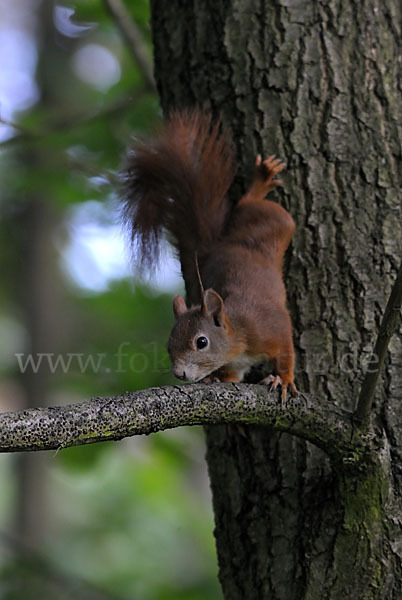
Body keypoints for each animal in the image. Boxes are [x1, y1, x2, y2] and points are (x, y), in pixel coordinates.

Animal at [124, 109, 296, 398]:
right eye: (169, 345)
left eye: (201, 342)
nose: (180, 374)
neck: (238, 335)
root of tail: (225, 242)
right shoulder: (236, 364)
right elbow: (233, 377)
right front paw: (215, 378)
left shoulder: (271, 328)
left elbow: (286, 352)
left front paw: (282, 379)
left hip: (278, 220)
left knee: (252, 206)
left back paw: (260, 182)